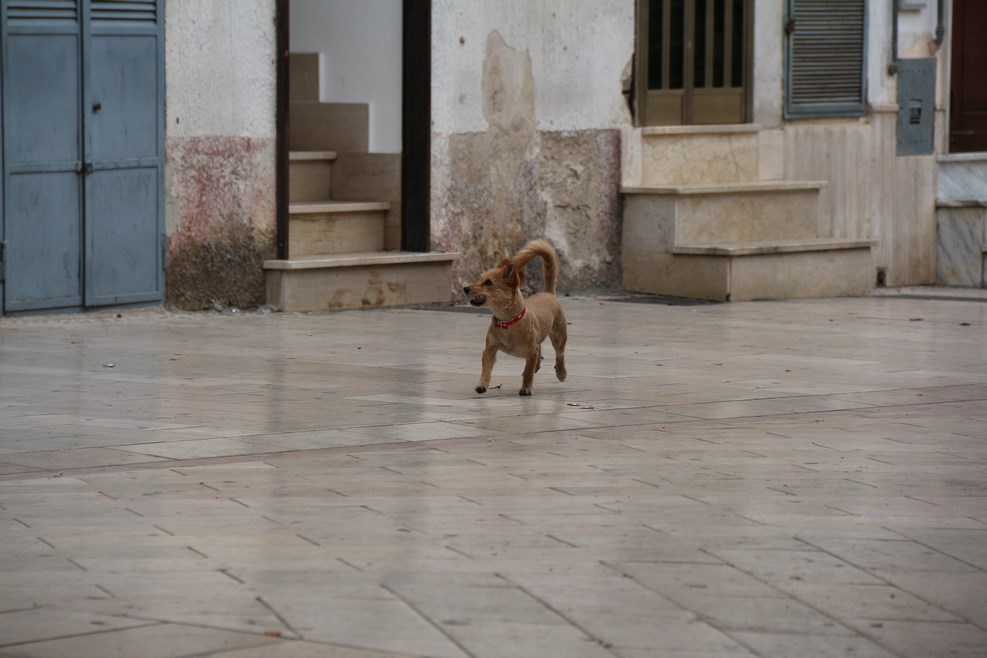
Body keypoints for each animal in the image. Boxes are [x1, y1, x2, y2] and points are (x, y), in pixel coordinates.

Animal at [463, 239, 567, 396]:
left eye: (488, 283)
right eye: (480, 279)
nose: (465, 288)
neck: (507, 322)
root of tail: (547, 292)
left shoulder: (531, 352)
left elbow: (528, 371)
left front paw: (526, 387)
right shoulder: (489, 350)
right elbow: (486, 369)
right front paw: (482, 384)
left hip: (558, 336)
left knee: (559, 354)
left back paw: (561, 372)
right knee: (540, 347)